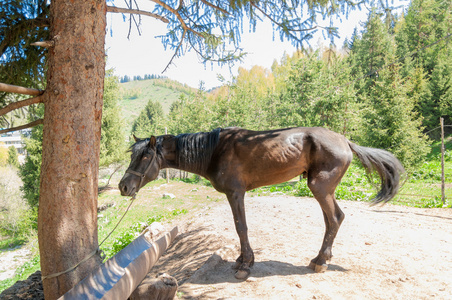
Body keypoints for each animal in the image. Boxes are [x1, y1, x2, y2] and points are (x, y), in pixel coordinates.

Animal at [118, 126, 404, 278]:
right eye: (133, 155)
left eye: (145, 157)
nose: (123, 186)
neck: (215, 151)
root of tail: (344, 140)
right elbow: (240, 228)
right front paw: (242, 259)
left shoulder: (235, 194)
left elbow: (241, 227)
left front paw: (245, 265)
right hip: (324, 191)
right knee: (333, 220)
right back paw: (320, 258)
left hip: (320, 188)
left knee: (334, 219)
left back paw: (321, 262)